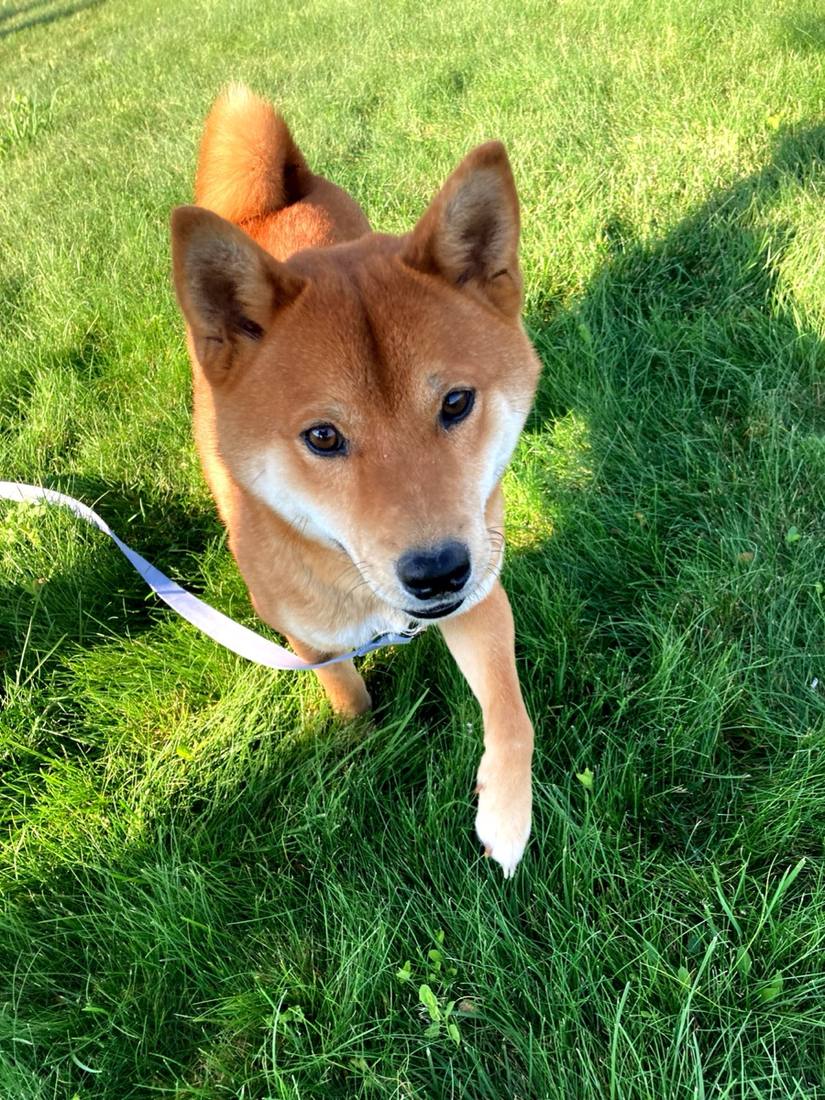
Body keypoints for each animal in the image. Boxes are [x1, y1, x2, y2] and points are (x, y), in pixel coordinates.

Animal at [170, 85, 541, 875]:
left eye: (455, 402)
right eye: (323, 437)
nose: (436, 572)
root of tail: (275, 200)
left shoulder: (479, 592)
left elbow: (510, 712)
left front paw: (505, 815)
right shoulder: (309, 639)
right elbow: (346, 694)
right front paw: (357, 747)